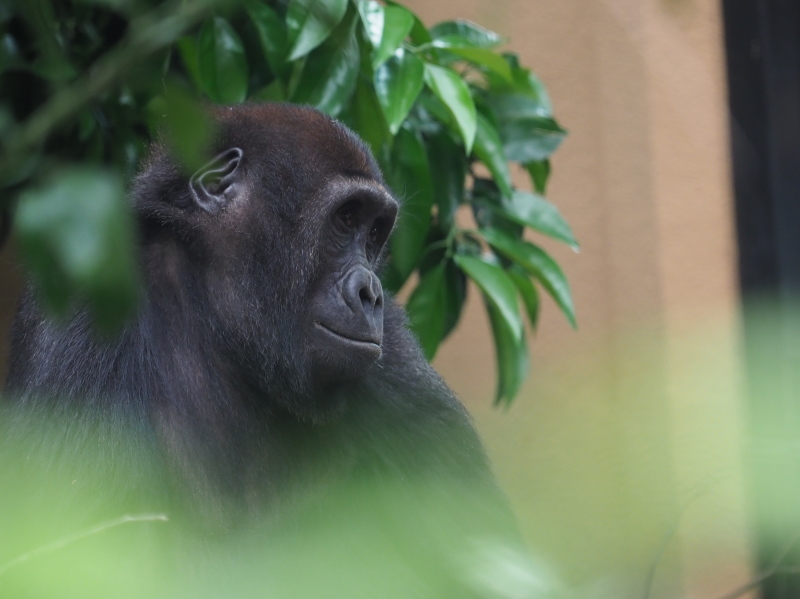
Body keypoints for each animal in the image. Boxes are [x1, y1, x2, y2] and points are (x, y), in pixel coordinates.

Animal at [1, 105, 512, 552]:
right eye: (346, 217)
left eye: (373, 234)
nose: (372, 293)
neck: (211, 315)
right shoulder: (87, 313)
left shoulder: (396, 359)